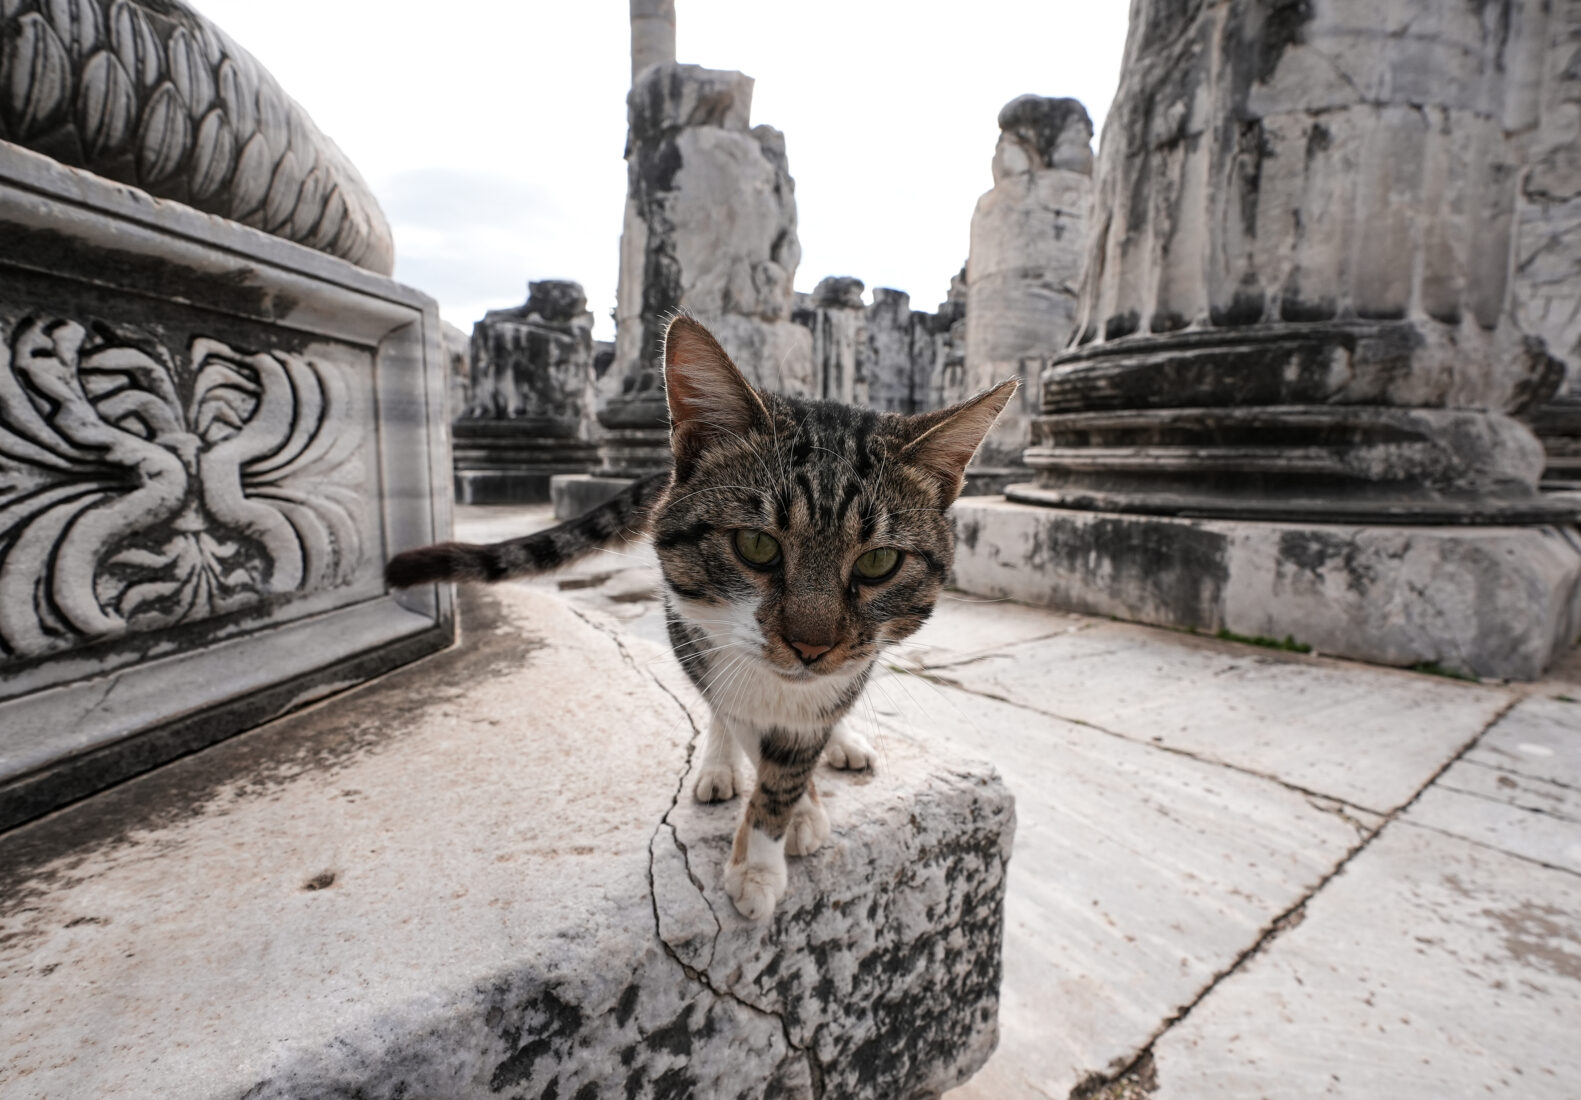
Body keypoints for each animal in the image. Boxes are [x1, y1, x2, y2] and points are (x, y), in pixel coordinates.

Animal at [388, 312, 1018, 916]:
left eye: (879, 562)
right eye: (756, 546)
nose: (811, 648)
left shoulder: (844, 666)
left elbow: (793, 760)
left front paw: (775, 836)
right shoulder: (705, 638)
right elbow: (751, 733)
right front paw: (770, 842)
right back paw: (722, 765)